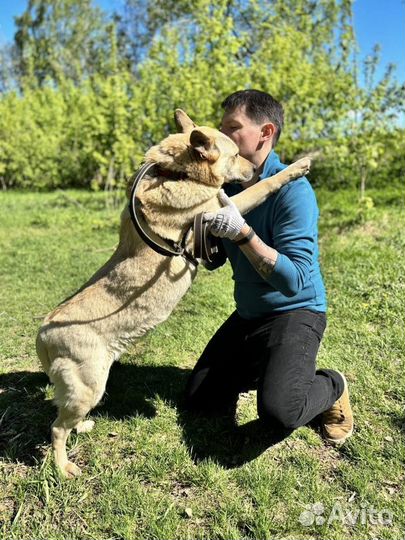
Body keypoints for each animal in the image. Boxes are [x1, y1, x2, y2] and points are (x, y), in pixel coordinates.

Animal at [37, 109, 310, 476]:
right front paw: (299, 166)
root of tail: (43, 334)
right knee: (56, 428)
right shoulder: (220, 207)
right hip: (88, 386)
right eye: (236, 154)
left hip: (81, 391)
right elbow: (262, 189)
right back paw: (63, 466)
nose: (253, 170)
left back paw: (82, 427)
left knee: (64, 418)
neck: (176, 172)